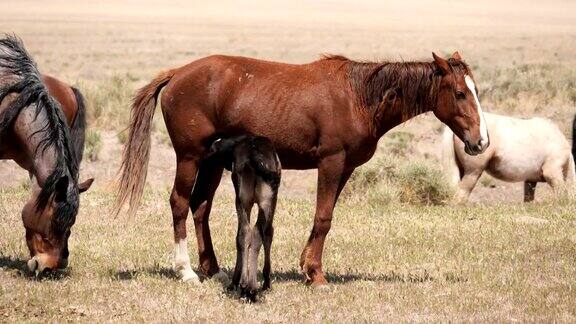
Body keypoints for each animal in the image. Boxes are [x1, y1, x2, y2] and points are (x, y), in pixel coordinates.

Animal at [116, 51, 490, 286]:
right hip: (190, 157)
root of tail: (177, 74)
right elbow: (323, 218)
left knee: (200, 207)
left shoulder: (345, 168)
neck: (358, 97)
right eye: (460, 93)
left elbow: (325, 219)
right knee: (180, 204)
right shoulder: (331, 163)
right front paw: (316, 275)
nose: (481, 141)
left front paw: (309, 268)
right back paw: (186, 271)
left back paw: (213, 270)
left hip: (211, 162)